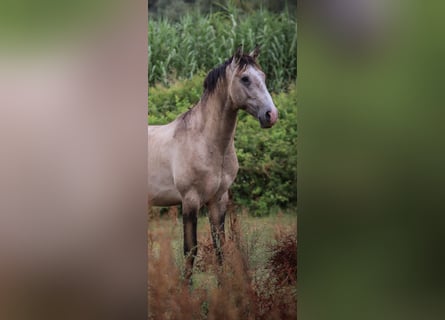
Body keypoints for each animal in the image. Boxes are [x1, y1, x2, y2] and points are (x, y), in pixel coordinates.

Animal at [147, 46, 276, 282]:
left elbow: (219, 247)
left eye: (263, 76)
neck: (205, 141)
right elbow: (190, 249)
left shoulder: (218, 200)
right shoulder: (190, 200)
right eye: (245, 78)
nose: (271, 115)